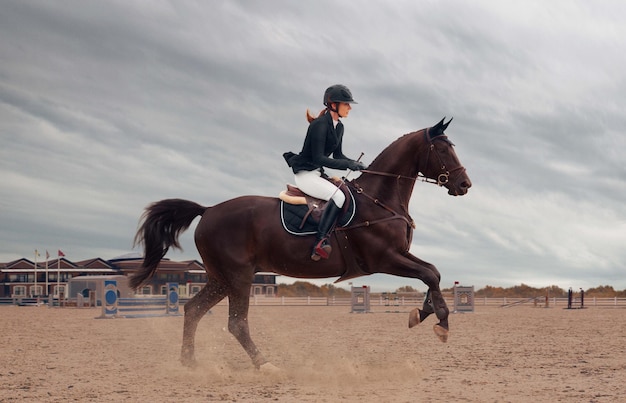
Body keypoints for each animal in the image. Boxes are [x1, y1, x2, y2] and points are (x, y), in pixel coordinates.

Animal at [134, 117, 470, 370]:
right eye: (442, 149)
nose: (464, 184)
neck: (380, 199)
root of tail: (208, 210)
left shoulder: (400, 254)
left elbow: (434, 273)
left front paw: (422, 314)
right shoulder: (385, 257)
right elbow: (428, 274)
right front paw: (441, 323)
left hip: (220, 278)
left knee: (193, 310)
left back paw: (189, 362)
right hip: (238, 276)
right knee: (236, 323)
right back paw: (265, 364)